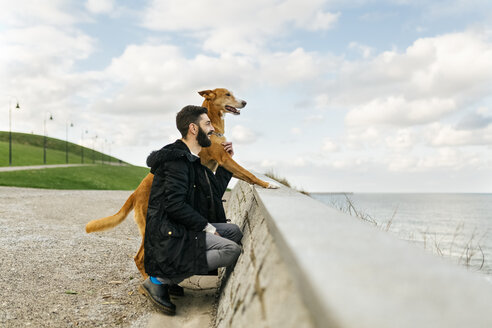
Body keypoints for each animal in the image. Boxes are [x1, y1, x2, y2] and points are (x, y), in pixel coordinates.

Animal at [84, 88, 276, 276]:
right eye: (228, 94)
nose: (245, 102)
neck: (213, 128)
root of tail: (134, 193)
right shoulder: (224, 159)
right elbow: (248, 173)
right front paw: (269, 184)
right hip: (150, 227)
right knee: (139, 258)